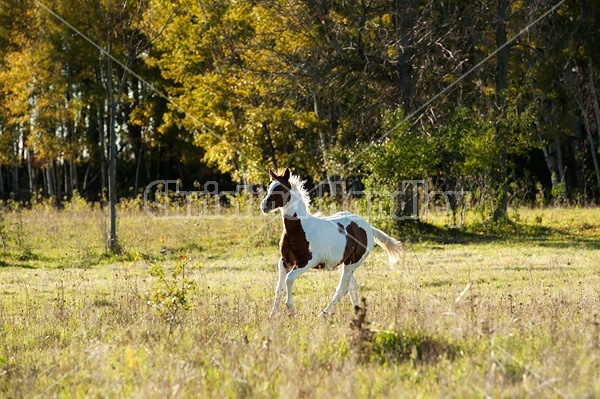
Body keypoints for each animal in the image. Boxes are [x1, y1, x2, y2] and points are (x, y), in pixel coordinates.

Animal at [258, 169, 404, 318]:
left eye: (281, 188)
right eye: (269, 187)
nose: (264, 206)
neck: (299, 228)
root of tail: (368, 227)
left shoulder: (306, 262)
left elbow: (289, 279)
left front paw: (291, 309)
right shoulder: (284, 261)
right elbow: (279, 288)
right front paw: (272, 315)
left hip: (352, 263)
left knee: (342, 288)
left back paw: (323, 314)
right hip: (343, 263)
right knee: (352, 286)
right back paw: (357, 313)